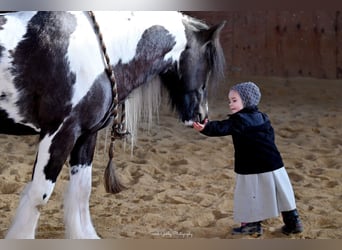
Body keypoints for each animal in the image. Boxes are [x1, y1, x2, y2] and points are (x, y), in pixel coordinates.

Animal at [0, 11, 227, 238]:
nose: (202, 116)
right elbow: (39, 195)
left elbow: (81, 191)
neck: (93, 51)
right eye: (206, 63)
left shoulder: (85, 135)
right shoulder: (60, 133)